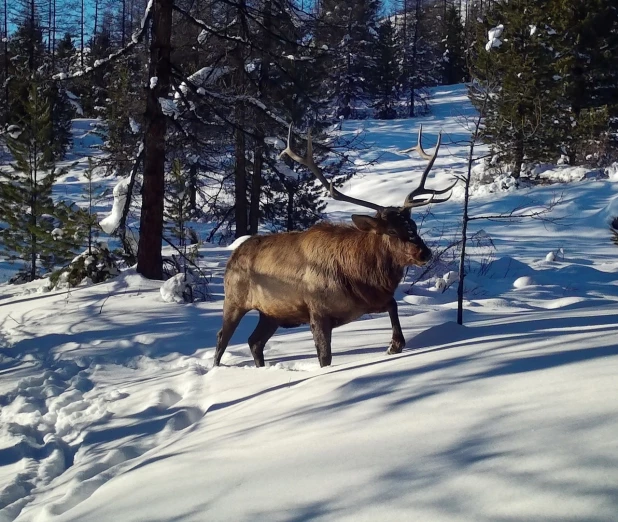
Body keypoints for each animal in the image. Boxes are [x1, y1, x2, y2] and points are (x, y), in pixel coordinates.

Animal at [214, 125, 454, 366]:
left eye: (412, 225)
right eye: (392, 231)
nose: (424, 252)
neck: (360, 273)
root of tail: (233, 257)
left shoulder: (369, 301)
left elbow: (394, 306)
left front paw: (394, 345)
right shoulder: (317, 311)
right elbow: (325, 357)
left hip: (272, 313)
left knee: (254, 341)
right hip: (234, 300)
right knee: (222, 339)